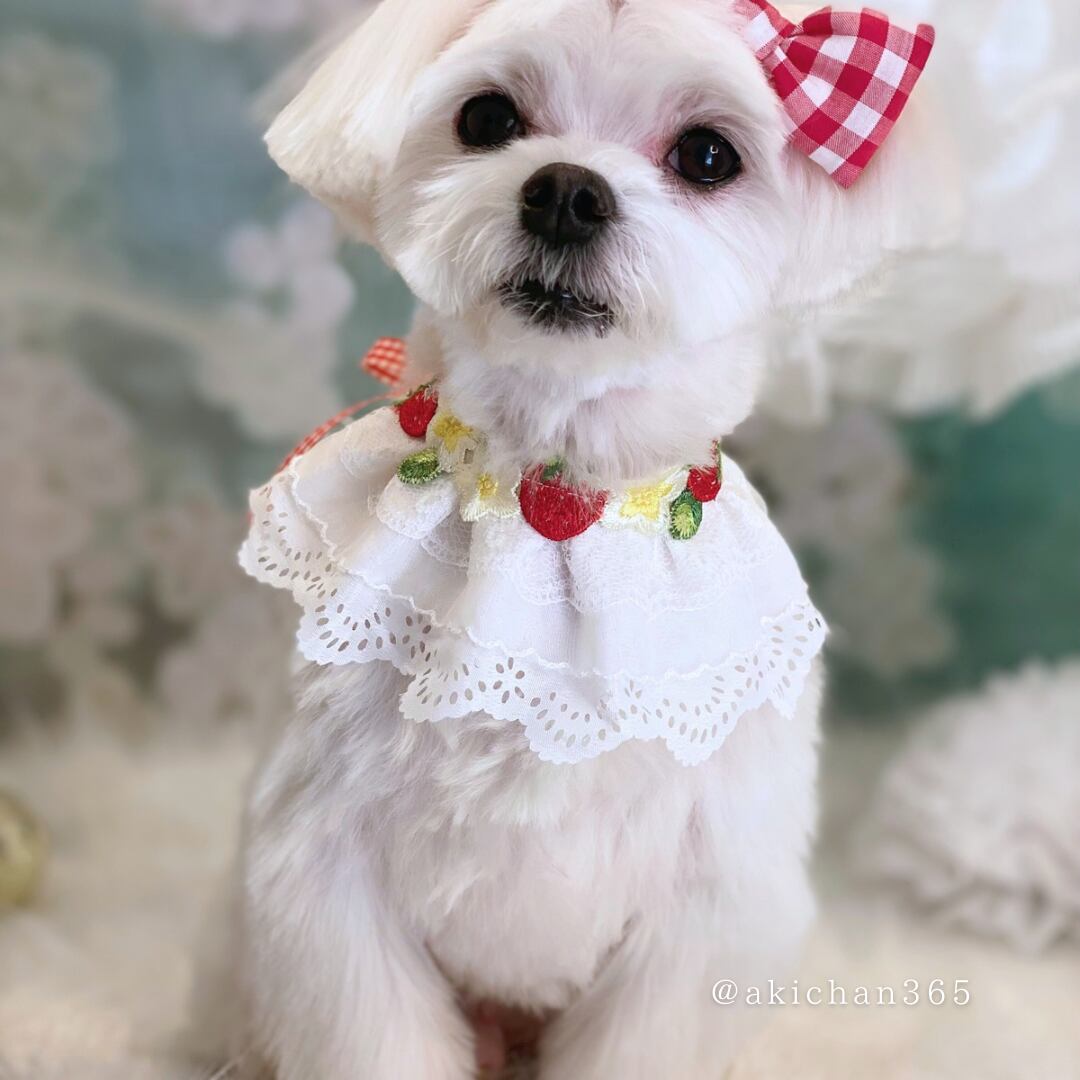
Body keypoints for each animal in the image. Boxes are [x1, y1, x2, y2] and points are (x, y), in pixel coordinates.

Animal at [225, 1, 955, 1076]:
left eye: (707, 154)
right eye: (487, 117)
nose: (567, 191)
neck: (549, 490)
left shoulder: (704, 915)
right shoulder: (326, 874)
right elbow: (371, 1029)